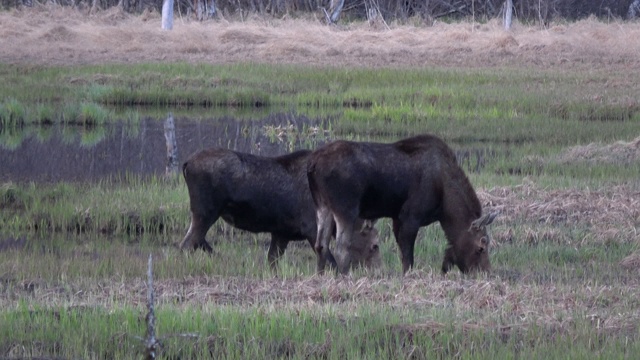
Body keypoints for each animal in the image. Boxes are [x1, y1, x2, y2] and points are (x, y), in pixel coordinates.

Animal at [180, 148, 380, 272]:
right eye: (374, 246)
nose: (373, 271)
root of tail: (186, 163)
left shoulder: (281, 233)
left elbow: (272, 261)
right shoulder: (310, 229)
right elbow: (330, 261)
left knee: (196, 241)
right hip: (205, 212)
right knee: (187, 244)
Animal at [308, 136, 498, 276]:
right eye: (481, 247)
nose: (486, 273)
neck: (445, 206)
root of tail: (313, 164)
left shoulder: (397, 218)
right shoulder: (410, 217)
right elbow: (408, 258)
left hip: (322, 206)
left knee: (320, 244)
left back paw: (320, 276)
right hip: (346, 209)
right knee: (341, 247)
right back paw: (344, 277)